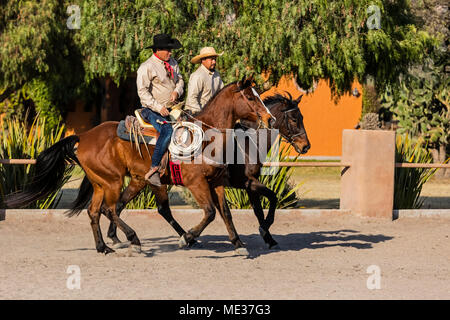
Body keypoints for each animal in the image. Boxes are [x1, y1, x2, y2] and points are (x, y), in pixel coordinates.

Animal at [5, 79, 276, 256]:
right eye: (250, 97)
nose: (270, 118)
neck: (206, 138)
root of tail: (84, 136)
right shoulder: (196, 184)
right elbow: (209, 213)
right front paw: (187, 238)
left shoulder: (216, 182)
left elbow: (225, 213)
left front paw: (238, 244)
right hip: (113, 181)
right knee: (110, 209)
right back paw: (133, 240)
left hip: (107, 183)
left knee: (96, 212)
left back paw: (104, 247)